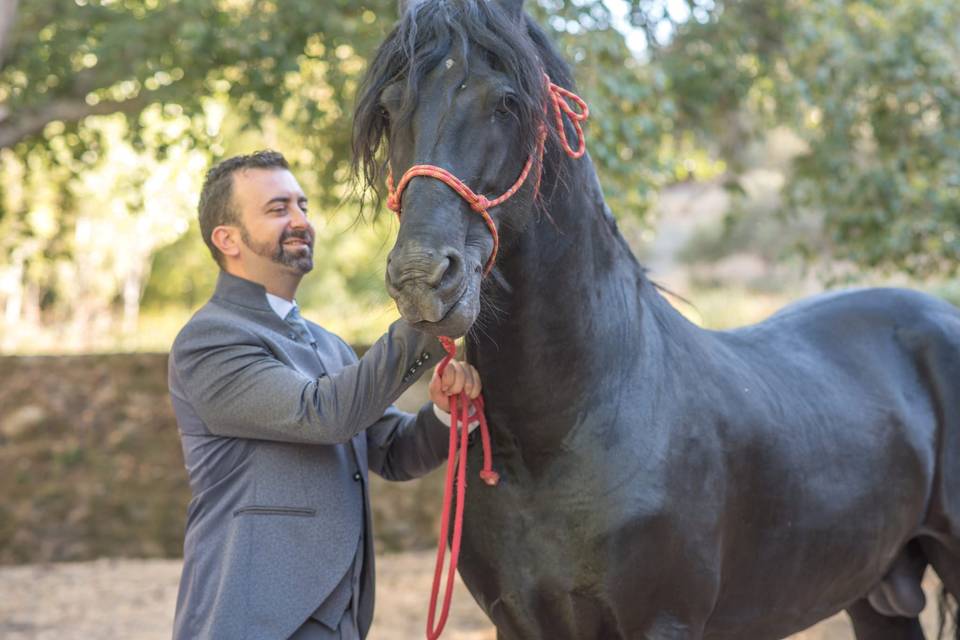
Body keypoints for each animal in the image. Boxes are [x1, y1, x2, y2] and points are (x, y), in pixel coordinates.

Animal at [351, 1, 960, 637]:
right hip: (873, 591)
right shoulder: (517, 621)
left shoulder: (663, 620)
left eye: (506, 102)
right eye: (390, 108)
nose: (422, 276)